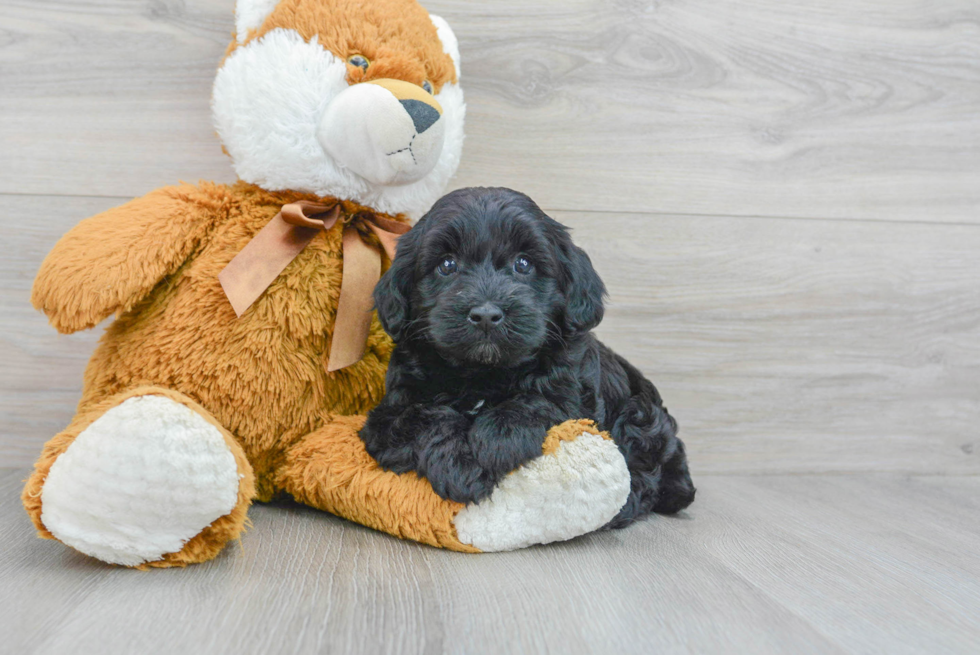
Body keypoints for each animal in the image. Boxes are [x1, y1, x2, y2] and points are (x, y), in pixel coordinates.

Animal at [362, 186, 696, 528]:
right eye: (446, 265)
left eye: (523, 264)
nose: (486, 315)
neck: (483, 372)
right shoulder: (388, 415)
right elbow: (426, 415)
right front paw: (459, 464)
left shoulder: (574, 396)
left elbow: (538, 402)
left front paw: (496, 439)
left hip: (640, 414)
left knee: (646, 472)